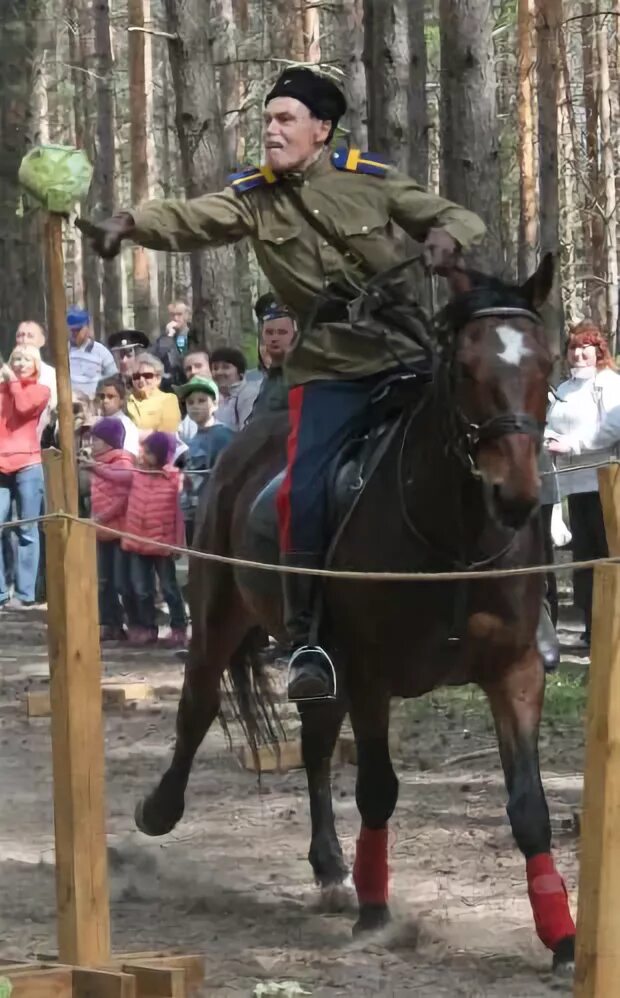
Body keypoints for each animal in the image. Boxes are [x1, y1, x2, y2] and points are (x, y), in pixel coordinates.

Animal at [136, 258, 576, 976]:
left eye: (546, 362)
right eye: (464, 368)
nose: (515, 496)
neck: (453, 535)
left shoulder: (515, 672)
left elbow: (529, 806)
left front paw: (561, 935)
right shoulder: (372, 675)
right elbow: (377, 787)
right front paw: (376, 912)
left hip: (322, 660)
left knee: (315, 746)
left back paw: (330, 867)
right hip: (221, 617)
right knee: (198, 707)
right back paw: (159, 810)